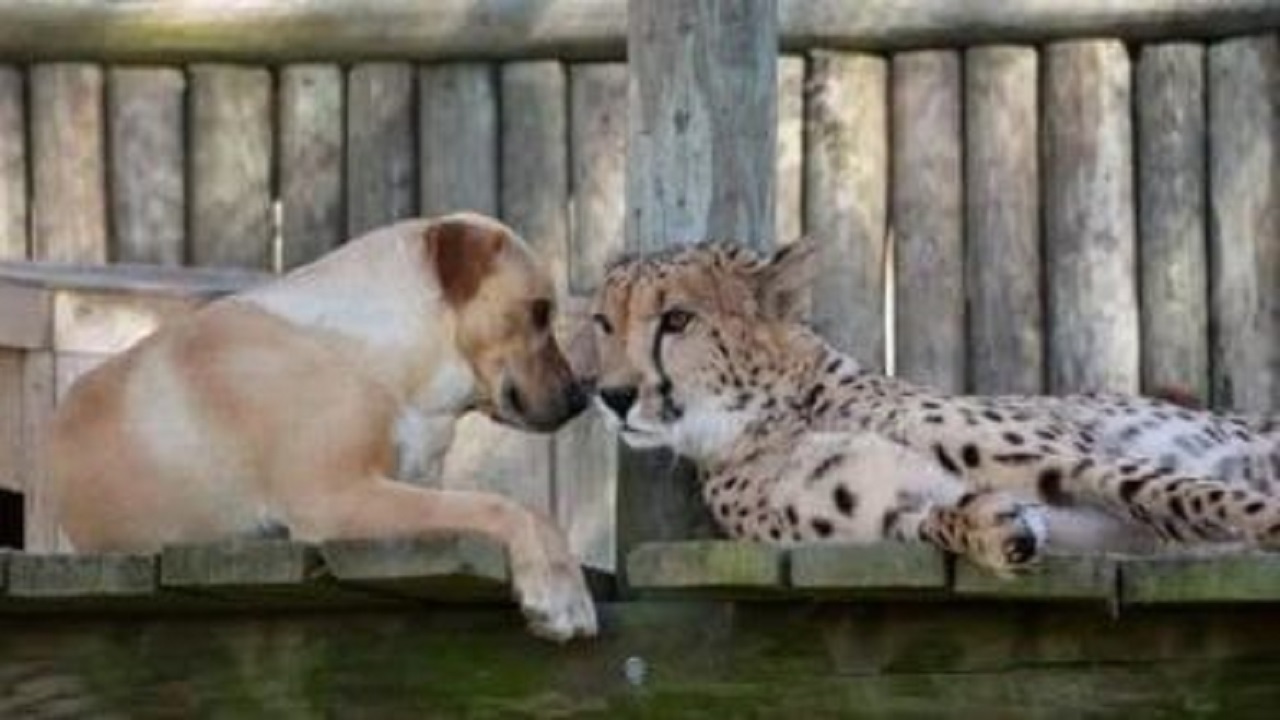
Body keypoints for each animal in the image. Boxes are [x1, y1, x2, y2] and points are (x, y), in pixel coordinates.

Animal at [45, 211, 593, 638]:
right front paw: (561, 593)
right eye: (539, 312)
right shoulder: (337, 498)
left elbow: (530, 511)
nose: (580, 397)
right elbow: (506, 507)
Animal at [578, 238, 1280, 573]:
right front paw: (994, 529)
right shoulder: (886, 519)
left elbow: (1181, 492)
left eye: (677, 320)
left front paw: (1261, 521)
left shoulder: (1078, 462)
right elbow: (937, 519)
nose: (612, 396)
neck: (769, 420)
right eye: (603, 324)